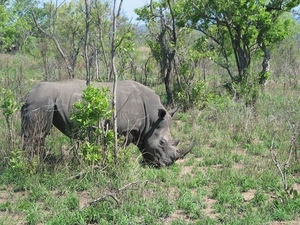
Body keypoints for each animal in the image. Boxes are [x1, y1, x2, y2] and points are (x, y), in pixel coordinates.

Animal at [21, 79, 195, 167]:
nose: (168, 164)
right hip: (41, 101)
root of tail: (28, 93)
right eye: (162, 142)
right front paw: (119, 163)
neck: (152, 119)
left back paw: (37, 162)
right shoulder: (126, 130)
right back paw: (35, 164)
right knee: (37, 134)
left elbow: (143, 145)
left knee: (35, 135)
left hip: (40, 100)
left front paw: (147, 162)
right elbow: (122, 148)